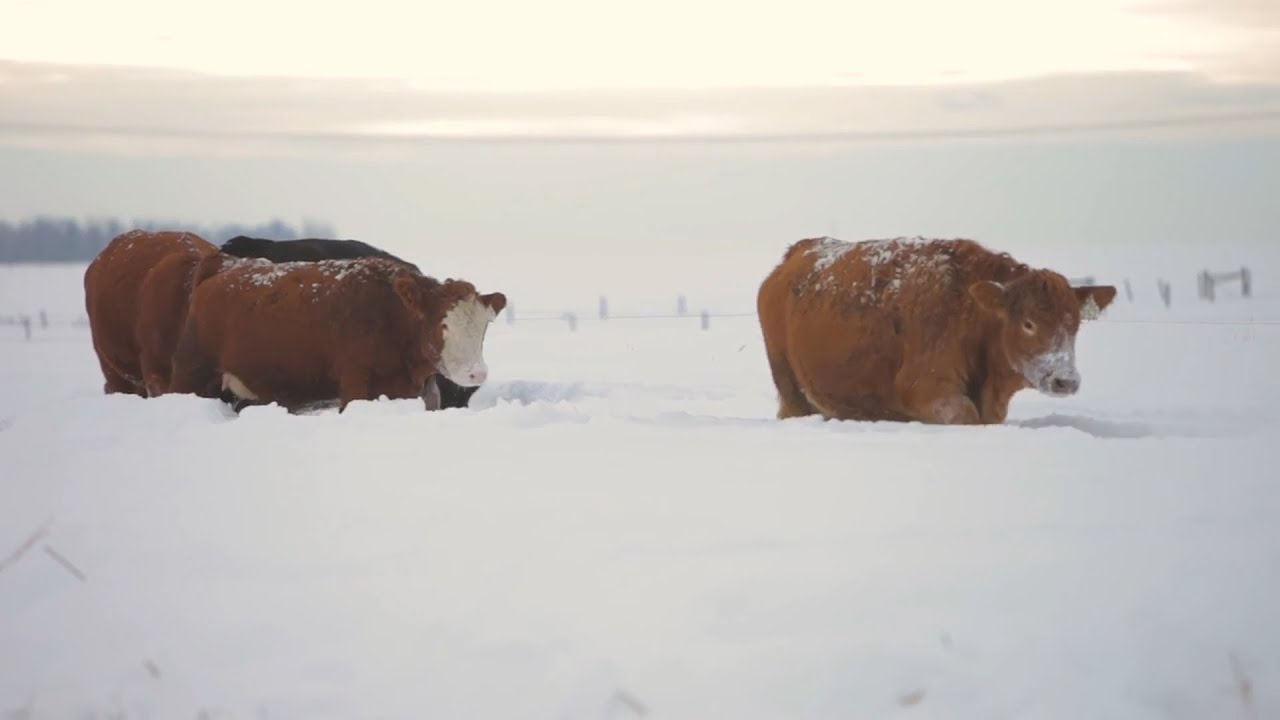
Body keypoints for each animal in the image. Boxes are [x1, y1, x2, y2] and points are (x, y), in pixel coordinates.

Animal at [168, 254, 507, 414]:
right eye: (443, 325)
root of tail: (219, 271)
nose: (477, 373)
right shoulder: (355, 385)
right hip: (190, 374)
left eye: (484, 327)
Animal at [756, 236, 1117, 426]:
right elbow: (966, 414)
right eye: (1028, 323)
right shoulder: (927, 391)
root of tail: (798, 251)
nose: (1064, 380)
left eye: (1074, 324)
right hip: (791, 392)